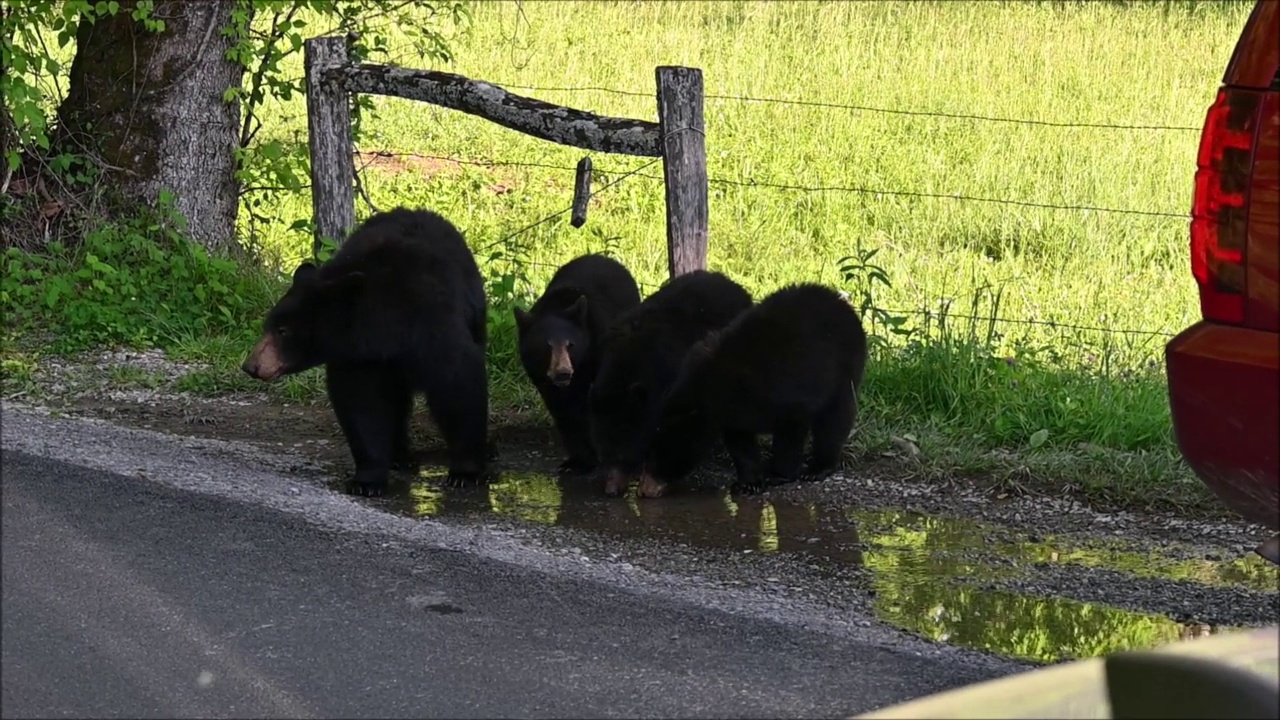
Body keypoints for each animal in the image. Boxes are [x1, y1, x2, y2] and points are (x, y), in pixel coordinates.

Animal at [240, 202, 488, 491]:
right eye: (267, 326)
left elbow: (457, 385)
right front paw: (367, 479)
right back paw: (400, 457)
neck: (389, 327)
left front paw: (464, 472)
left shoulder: (432, 325)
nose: (251, 365)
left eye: (283, 331)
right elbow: (362, 403)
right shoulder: (359, 355)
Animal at [514, 249, 645, 474]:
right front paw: (576, 461)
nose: (563, 372)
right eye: (546, 346)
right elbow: (562, 411)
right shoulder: (540, 375)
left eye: (571, 345)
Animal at [586, 266, 752, 497]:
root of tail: (728, 281)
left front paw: (651, 483)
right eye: (603, 455)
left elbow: (684, 433)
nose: (611, 491)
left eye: (623, 456)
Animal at [640, 281, 870, 499]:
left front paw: (778, 474)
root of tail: (841, 303)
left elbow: (790, 430)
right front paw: (748, 483)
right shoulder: (733, 410)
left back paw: (818, 468)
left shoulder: (783, 388)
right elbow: (741, 442)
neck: (712, 386)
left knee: (834, 417)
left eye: (659, 455)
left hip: (843, 368)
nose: (644, 490)